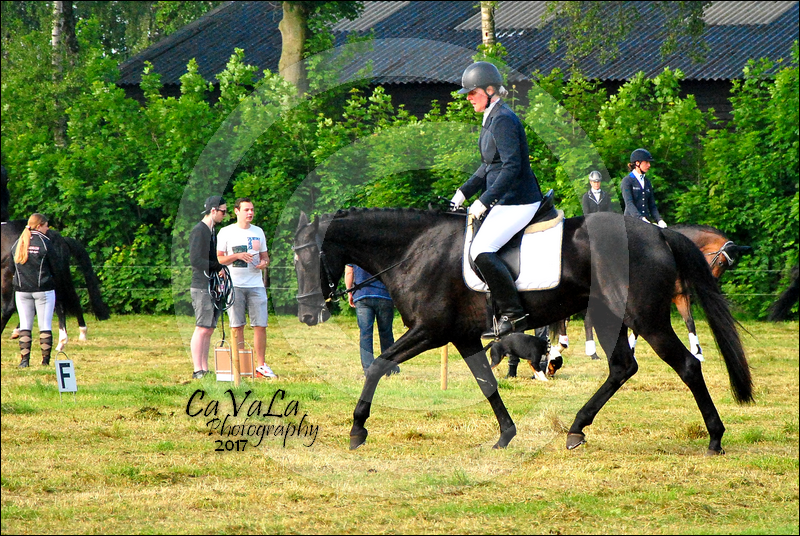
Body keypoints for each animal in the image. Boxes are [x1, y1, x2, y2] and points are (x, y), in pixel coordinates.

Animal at [292, 207, 752, 454]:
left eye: (306, 258)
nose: (308, 315)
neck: (413, 249)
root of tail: (658, 234)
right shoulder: (461, 336)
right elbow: (487, 382)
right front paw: (506, 435)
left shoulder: (430, 331)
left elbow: (377, 365)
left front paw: (357, 429)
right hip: (611, 318)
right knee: (622, 367)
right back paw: (576, 429)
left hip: (647, 319)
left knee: (687, 366)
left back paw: (714, 438)